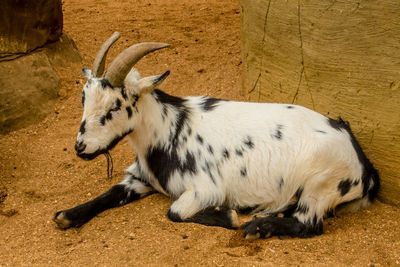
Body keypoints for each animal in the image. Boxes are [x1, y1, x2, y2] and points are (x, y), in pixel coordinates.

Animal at [52, 32, 378, 240]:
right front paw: (67, 215)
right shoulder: (139, 178)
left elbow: (174, 212)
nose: (80, 147)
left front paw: (230, 216)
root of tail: (364, 167)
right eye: (83, 98)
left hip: (319, 185)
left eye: (115, 106)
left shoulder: (204, 189)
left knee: (309, 224)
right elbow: (109, 194)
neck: (170, 129)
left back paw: (257, 228)